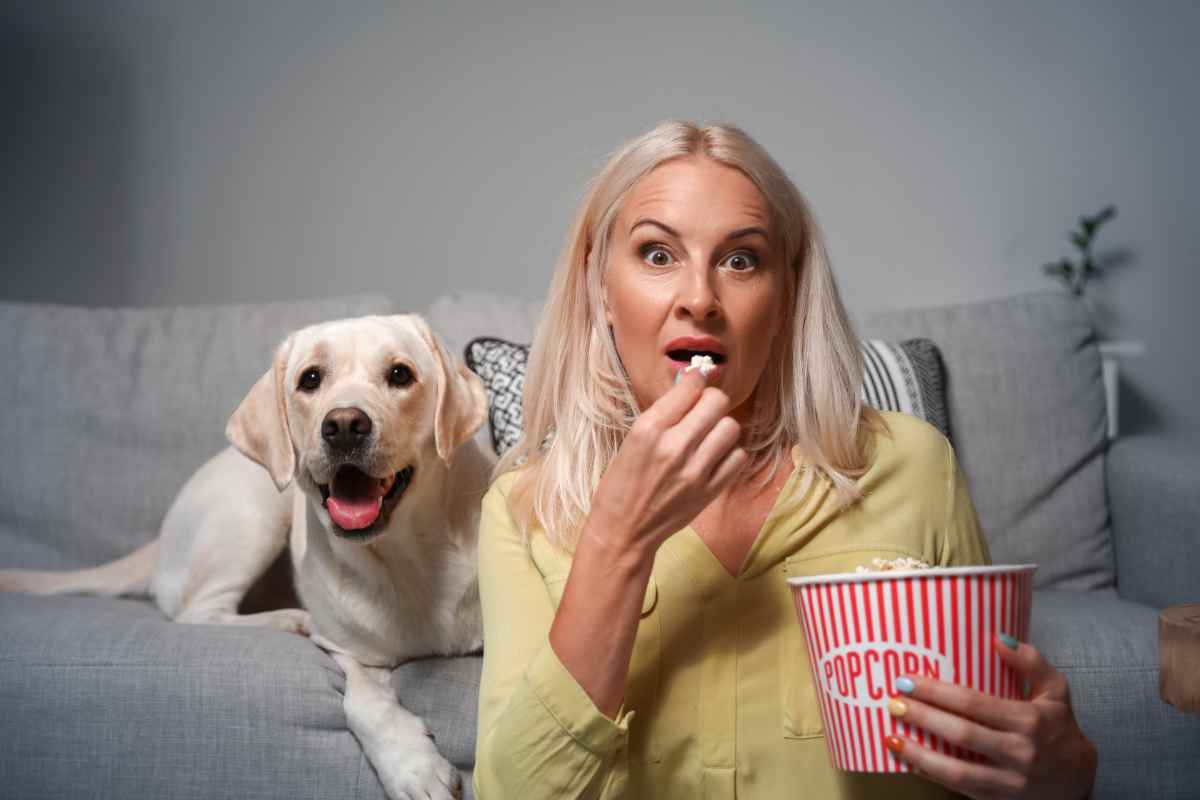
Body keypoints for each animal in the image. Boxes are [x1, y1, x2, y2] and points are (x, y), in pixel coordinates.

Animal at [0, 316, 494, 800]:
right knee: (197, 612)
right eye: (310, 379)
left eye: (400, 374)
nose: (344, 425)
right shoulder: (349, 650)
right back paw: (288, 620)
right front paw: (412, 766)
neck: (408, 553)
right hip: (255, 508)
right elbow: (364, 703)